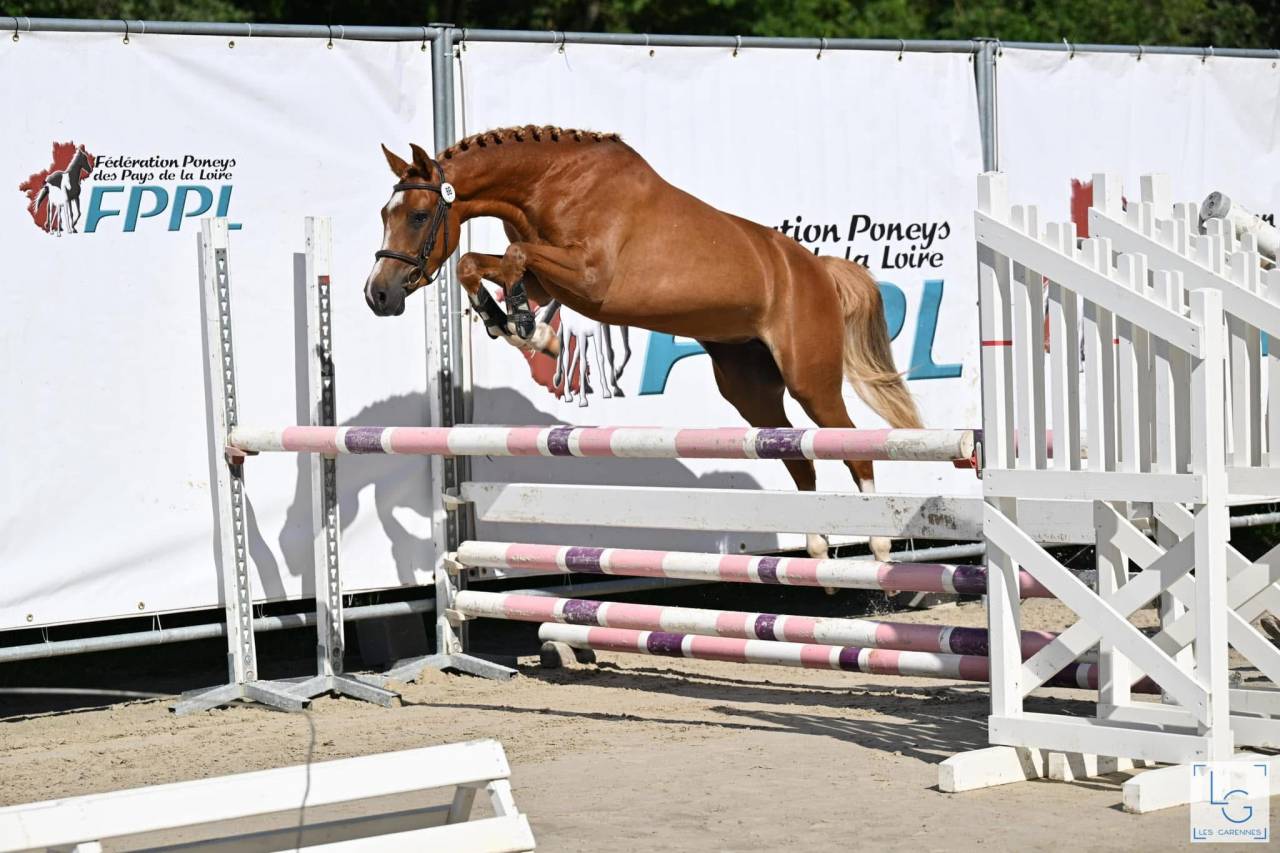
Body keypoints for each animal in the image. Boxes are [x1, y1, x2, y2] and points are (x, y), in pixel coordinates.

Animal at [365, 126, 922, 561]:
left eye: (418, 216)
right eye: (384, 213)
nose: (378, 294)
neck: (552, 183)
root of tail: (818, 269)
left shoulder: (590, 279)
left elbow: (513, 256)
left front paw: (529, 329)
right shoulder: (552, 279)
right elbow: (480, 263)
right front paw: (520, 327)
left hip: (810, 381)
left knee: (852, 447)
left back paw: (877, 545)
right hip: (750, 389)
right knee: (799, 457)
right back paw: (816, 546)